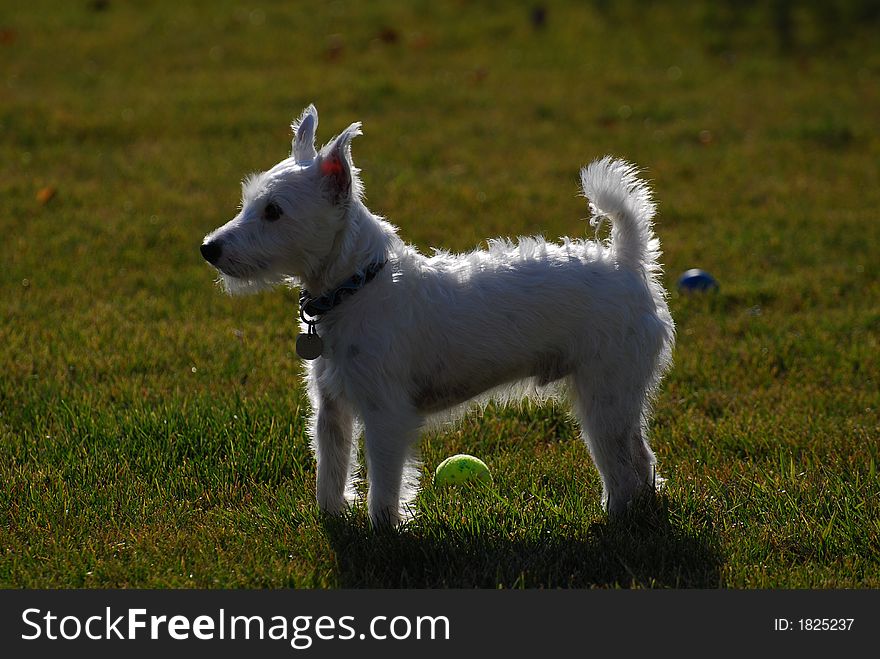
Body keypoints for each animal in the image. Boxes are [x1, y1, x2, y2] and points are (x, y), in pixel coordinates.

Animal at [203, 104, 676, 524]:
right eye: (249, 203)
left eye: (273, 211)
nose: (208, 248)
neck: (356, 285)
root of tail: (626, 261)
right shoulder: (331, 409)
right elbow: (332, 472)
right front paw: (330, 518)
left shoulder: (386, 414)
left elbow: (385, 483)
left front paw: (383, 530)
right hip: (614, 397)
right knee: (641, 456)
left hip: (605, 395)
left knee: (624, 463)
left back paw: (616, 515)